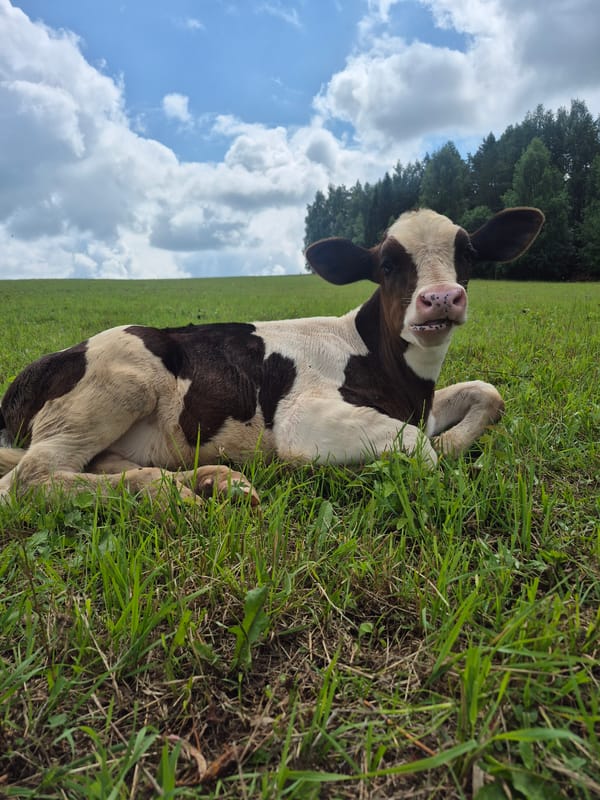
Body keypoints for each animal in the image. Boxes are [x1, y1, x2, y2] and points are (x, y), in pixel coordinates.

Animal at [0, 207, 544, 505]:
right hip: (115, 388)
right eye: (388, 264)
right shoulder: (301, 419)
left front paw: (452, 443)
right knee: (27, 480)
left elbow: (487, 395)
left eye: (468, 254)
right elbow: (421, 451)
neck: (401, 381)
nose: (441, 299)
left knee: (96, 466)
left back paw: (216, 481)